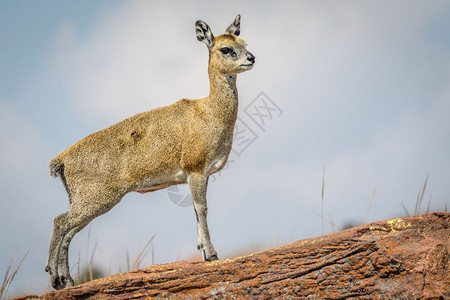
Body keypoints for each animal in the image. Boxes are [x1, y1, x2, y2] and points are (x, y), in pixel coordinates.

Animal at [47, 15, 255, 290]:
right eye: (226, 48)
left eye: (244, 42)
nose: (251, 58)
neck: (210, 113)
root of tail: (60, 160)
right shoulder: (196, 169)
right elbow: (202, 208)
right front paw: (211, 254)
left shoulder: (197, 175)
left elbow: (195, 210)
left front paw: (202, 250)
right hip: (96, 199)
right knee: (60, 222)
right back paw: (55, 279)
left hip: (84, 201)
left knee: (68, 230)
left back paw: (67, 280)